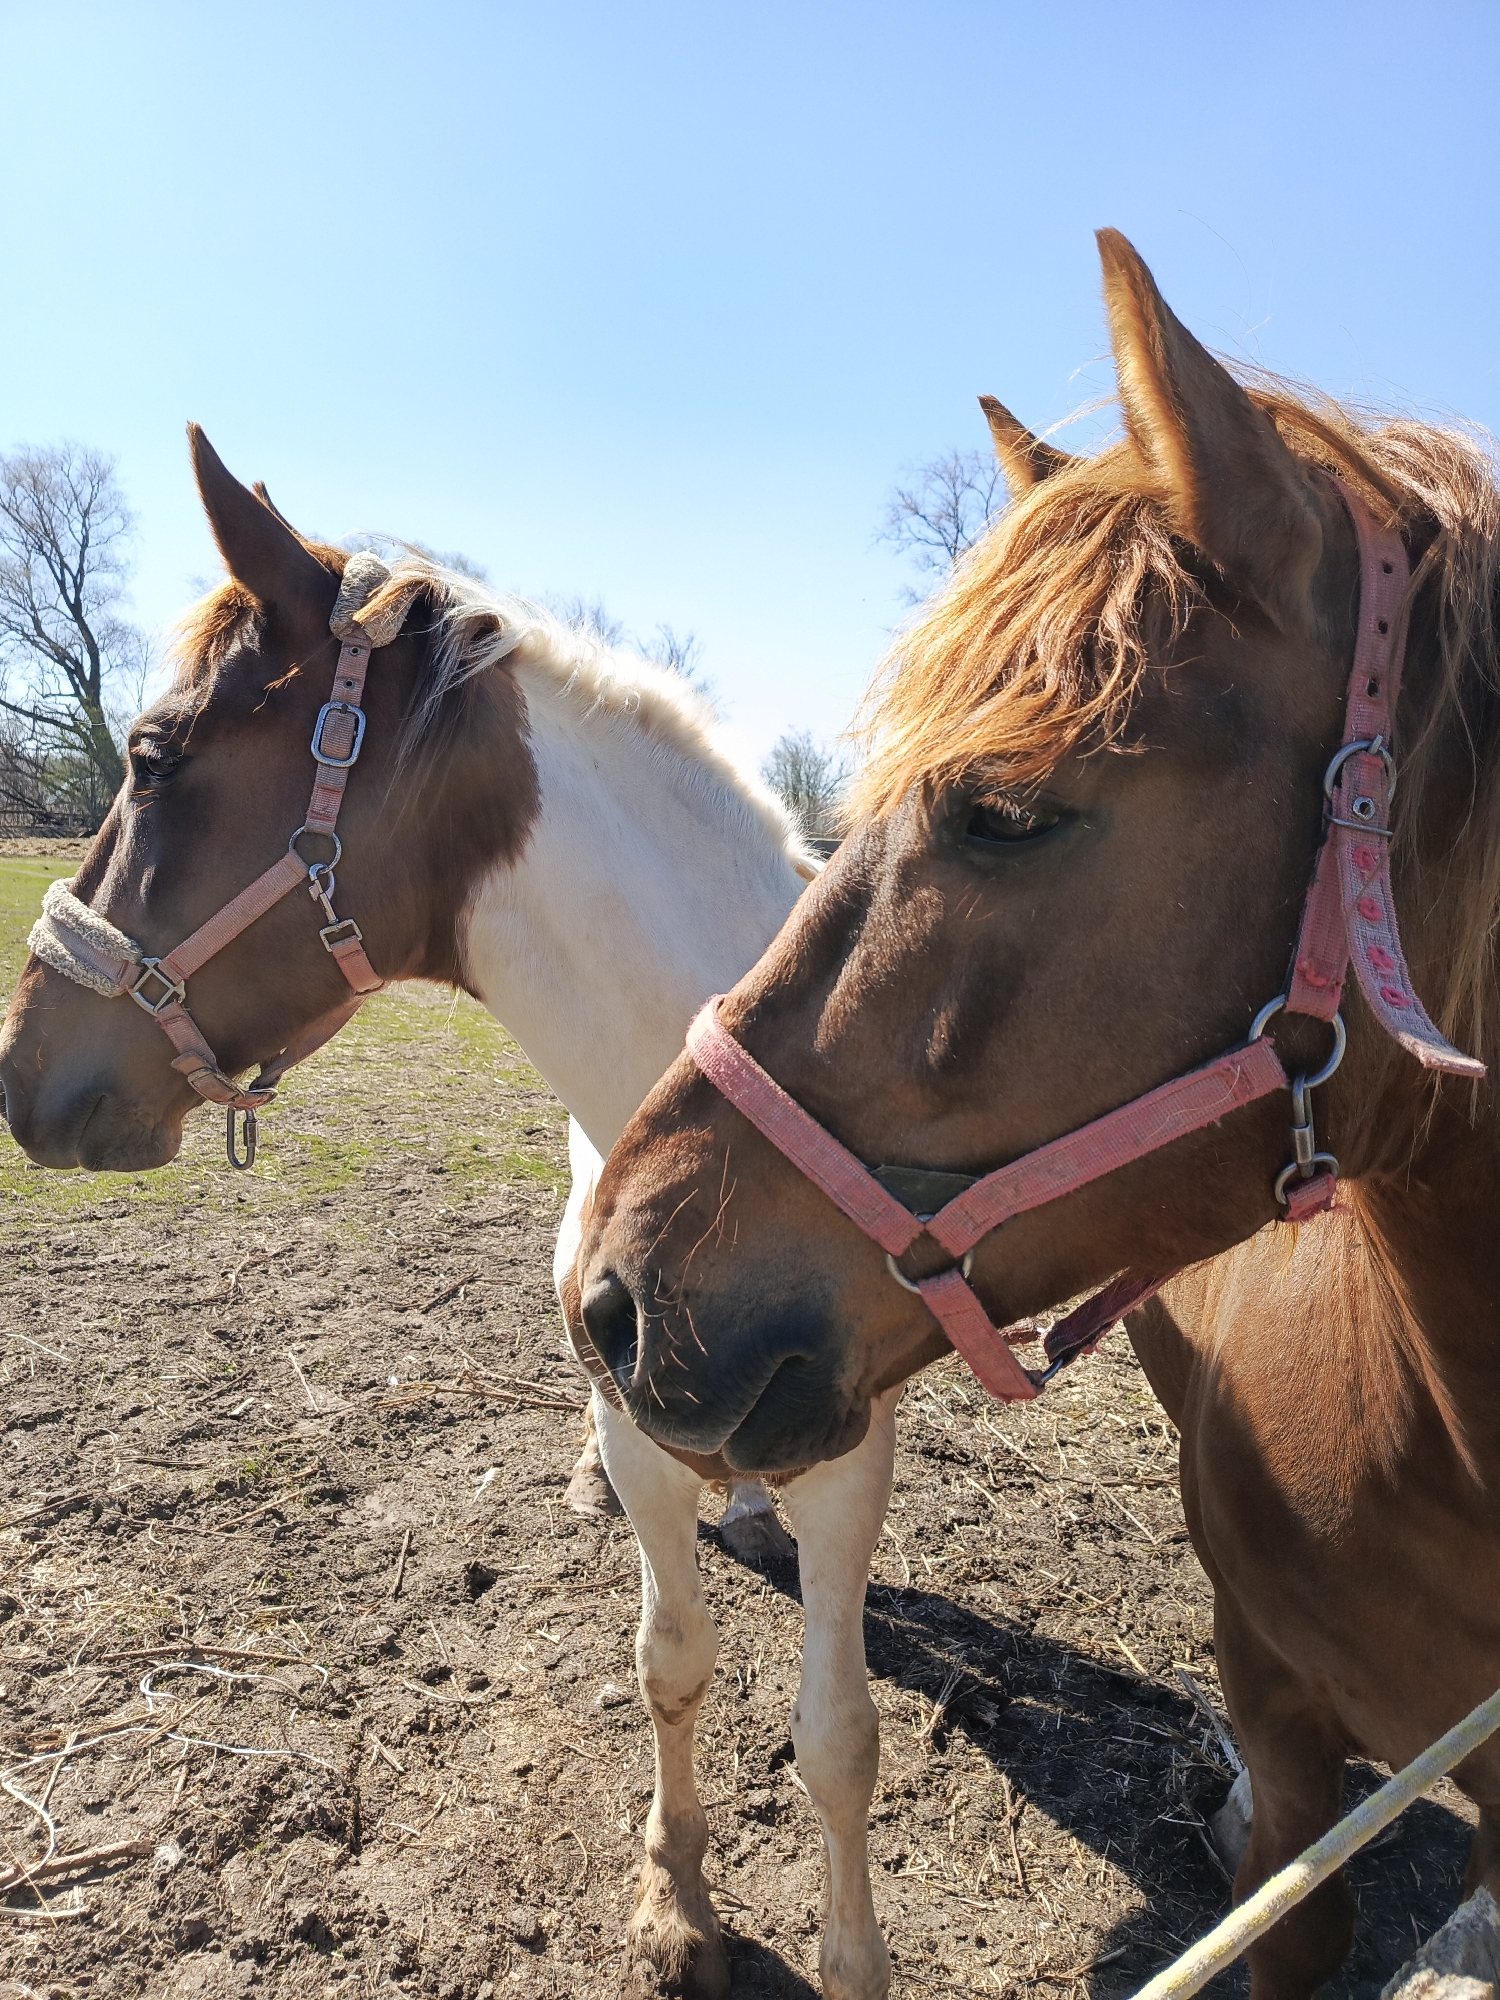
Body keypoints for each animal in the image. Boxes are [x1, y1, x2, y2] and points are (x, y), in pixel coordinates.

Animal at [0, 430, 905, 1999]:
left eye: (155, 757)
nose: (14, 1073)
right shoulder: (632, 1416)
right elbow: (671, 1660)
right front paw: (676, 1898)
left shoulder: (854, 1461)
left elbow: (836, 1737)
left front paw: (845, 1954)